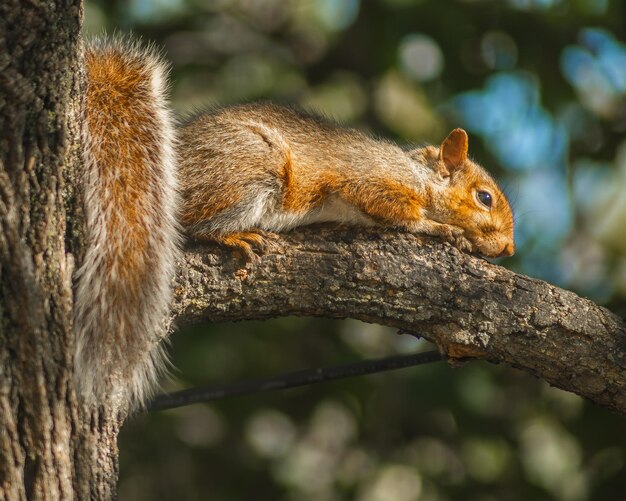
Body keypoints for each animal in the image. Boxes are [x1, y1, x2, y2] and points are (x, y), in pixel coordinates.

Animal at [74, 40, 512, 410]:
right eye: (484, 198)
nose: (508, 249)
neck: (418, 175)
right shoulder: (370, 180)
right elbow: (397, 211)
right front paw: (441, 229)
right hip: (252, 170)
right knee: (196, 224)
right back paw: (233, 234)